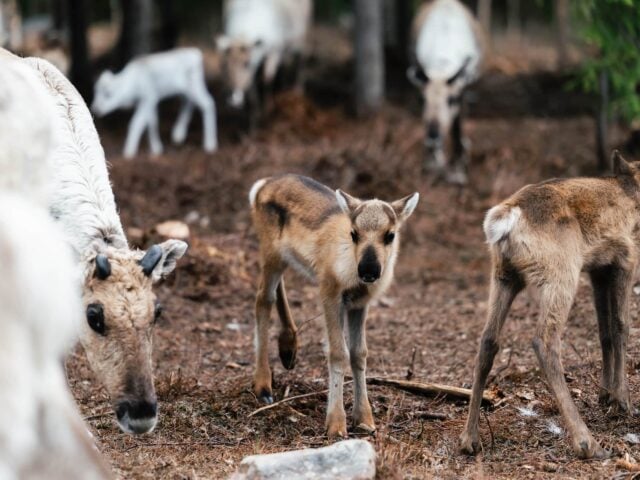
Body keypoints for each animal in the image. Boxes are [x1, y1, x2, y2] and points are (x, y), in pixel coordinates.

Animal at [249, 174, 419, 437]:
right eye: (354, 233)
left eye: (390, 235)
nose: (369, 270)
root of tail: (261, 185)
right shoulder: (330, 293)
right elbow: (338, 352)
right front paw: (336, 424)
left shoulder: (359, 304)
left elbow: (359, 353)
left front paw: (365, 419)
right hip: (271, 253)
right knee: (262, 299)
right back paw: (264, 386)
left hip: (282, 258)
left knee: (277, 289)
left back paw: (288, 348)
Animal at [407, 0, 485, 185]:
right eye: (422, 99)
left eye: (452, 99)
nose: (433, 135)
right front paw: (433, 164)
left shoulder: (462, 90)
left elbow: (457, 130)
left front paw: (459, 172)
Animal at [460, 151, 640, 459]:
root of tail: (504, 219)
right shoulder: (626, 257)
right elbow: (621, 326)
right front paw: (622, 401)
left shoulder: (598, 268)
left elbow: (604, 331)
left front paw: (606, 395)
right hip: (561, 272)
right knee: (545, 341)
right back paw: (587, 442)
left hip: (504, 275)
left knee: (487, 340)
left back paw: (469, 439)